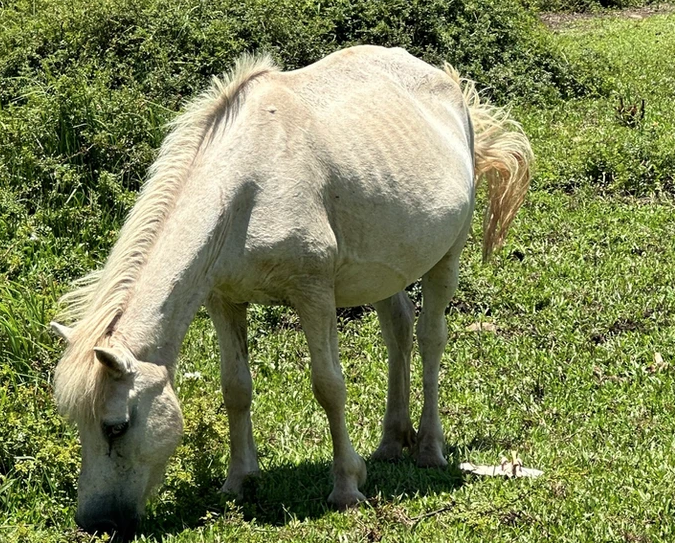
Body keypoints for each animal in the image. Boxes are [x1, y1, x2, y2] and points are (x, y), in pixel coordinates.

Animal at [50, 45, 532, 540]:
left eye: (115, 428)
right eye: (77, 423)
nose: (95, 522)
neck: (246, 189)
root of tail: (451, 87)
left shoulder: (313, 293)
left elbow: (329, 386)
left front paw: (346, 486)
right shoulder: (224, 300)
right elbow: (236, 388)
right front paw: (239, 481)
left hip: (446, 258)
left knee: (431, 338)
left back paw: (429, 449)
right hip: (385, 268)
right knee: (397, 329)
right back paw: (390, 443)